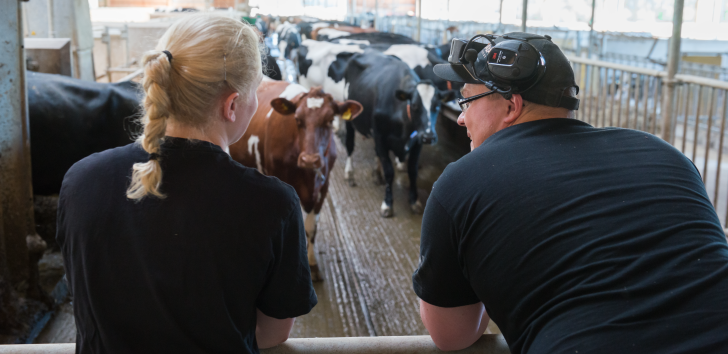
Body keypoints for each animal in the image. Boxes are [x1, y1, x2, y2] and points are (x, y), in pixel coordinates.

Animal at [229, 79, 362, 280]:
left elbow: (311, 227)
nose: (310, 160)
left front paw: (313, 264)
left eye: (330, 120)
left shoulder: (324, 186)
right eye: (298, 120)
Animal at [340, 51, 432, 218]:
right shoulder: (381, 137)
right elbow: (389, 171)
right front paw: (387, 204)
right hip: (349, 117)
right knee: (349, 145)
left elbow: (413, 170)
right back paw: (349, 173)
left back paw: (376, 174)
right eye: (415, 105)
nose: (429, 136)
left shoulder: (417, 143)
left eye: (437, 105)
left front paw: (414, 201)